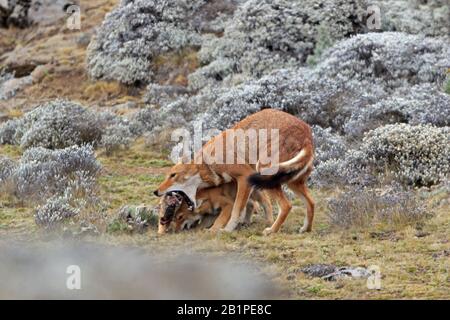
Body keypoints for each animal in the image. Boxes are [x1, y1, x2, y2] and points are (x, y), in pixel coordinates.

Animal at [153, 109, 314, 234]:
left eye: (173, 175)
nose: (155, 191)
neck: (208, 162)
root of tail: (307, 135)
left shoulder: (245, 177)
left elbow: (236, 209)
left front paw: (226, 230)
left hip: (264, 172)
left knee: (286, 206)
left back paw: (271, 231)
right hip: (291, 184)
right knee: (311, 203)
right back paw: (305, 229)